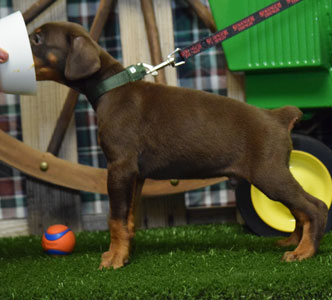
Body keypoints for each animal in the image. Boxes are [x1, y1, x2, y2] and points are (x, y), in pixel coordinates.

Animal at [29, 21, 328, 270]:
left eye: (37, 38)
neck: (111, 88)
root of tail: (278, 116)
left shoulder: (119, 168)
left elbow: (115, 218)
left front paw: (114, 258)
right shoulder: (135, 175)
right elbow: (128, 217)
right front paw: (125, 253)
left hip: (269, 174)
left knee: (315, 207)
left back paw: (304, 252)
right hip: (274, 175)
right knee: (300, 209)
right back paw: (293, 242)